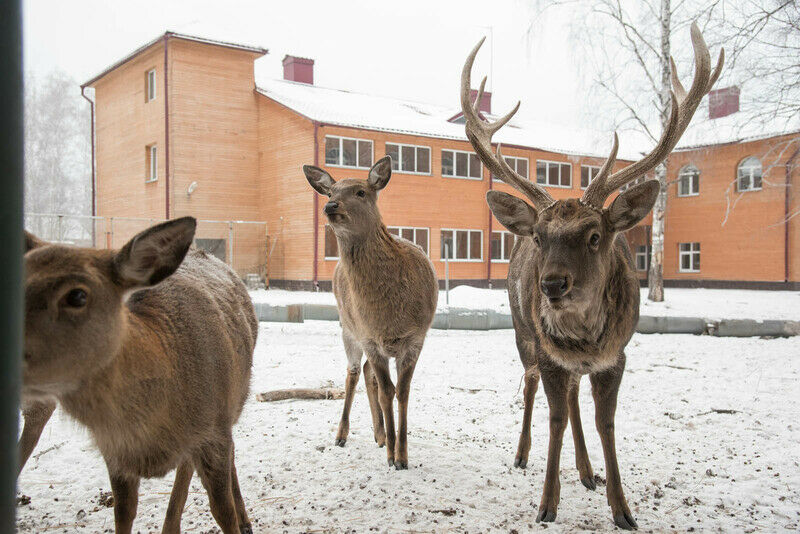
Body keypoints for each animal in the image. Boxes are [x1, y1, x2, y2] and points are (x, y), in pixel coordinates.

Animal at [24, 219, 256, 534]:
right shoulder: (113, 452)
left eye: (77, 295)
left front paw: (237, 520)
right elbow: (123, 511)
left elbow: (222, 510)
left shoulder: (214, 428)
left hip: (235, 401)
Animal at [304, 157, 438, 472]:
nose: (330, 206)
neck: (388, 316)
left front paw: (401, 454)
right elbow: (387, 390)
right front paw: (393, 456)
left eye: (361, 192)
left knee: (367, 373)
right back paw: (342, 435)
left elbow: (402, 391)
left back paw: (379, 434)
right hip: (347, 327)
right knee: (354, 372)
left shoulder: (416, 338)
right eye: (330, 192)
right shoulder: (370, 338)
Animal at [460, 23, 720, 528]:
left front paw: (622, 508)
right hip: (523, 335)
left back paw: (585, 472)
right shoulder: (549, 354)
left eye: (595, 235)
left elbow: (605, 423)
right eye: (539, 236)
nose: (552, 284)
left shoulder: (616, 357)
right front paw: (546, 503)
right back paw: (523, 454)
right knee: (531, 386)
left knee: (576, 398)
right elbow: (556, 419)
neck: (583, 338)